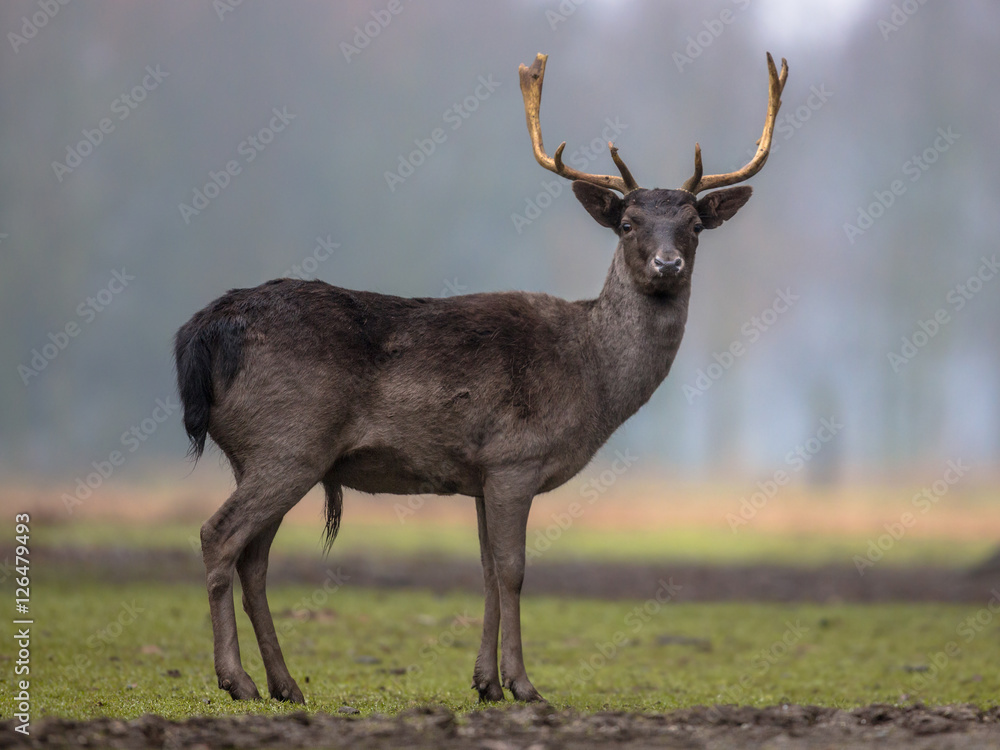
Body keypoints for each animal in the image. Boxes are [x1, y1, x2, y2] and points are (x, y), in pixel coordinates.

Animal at [174, 51, 787, 705]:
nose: (666, 264)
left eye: (695, 226)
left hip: (266, 454)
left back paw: (285, 684)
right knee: (218, 535)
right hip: (288, 442)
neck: (591, 377)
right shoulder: (516, 457)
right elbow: (514, 571)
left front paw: (485, 683)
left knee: (254, 557)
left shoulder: (478, 473)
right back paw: (237, 680)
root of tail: (204, 330)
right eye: (626, 223)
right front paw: (523, 684)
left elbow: (488, 571)